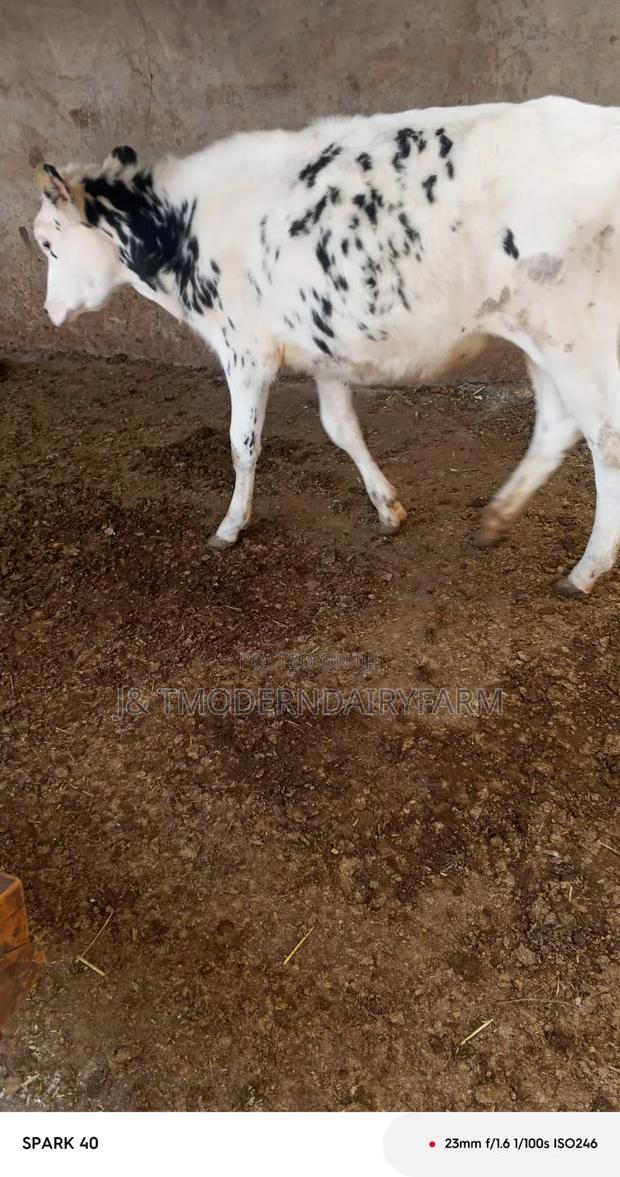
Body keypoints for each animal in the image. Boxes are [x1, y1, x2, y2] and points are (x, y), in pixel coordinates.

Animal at [33, 95, 620, 596]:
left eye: (46, 242)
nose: (49, 311)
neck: (180, 230)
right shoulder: (324, 346)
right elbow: (341, 428)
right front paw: (388, 508)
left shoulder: (244, 349)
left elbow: (242, 443)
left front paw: (230, 526)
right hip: (540, 336)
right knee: (556, 426)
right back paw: (496, 520)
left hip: (576, 336)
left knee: (605, 440)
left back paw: (584, 571)